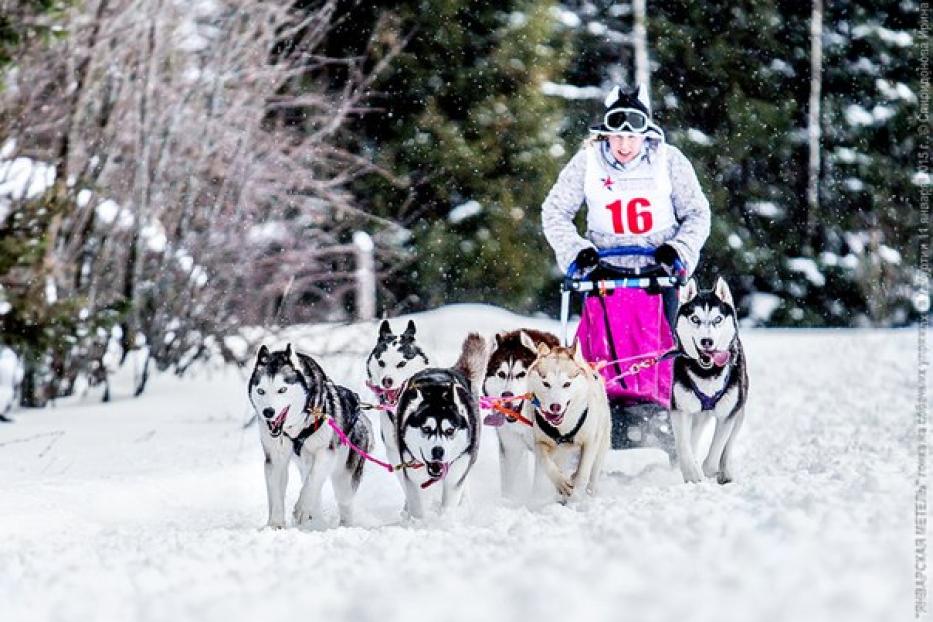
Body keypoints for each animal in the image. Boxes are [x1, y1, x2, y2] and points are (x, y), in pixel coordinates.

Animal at [253, 344, 376, 528]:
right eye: (261, 391)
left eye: (282, 389)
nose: (268, 412)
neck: (296, 429)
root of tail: (361, 413)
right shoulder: (275, 458)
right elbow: (276, 493)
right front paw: (275, 524)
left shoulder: (325, 452)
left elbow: (312, 480)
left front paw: (302, 508)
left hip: (344, 479)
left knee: (343, 502)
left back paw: (342, 525)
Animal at [394, 336, 484, 520]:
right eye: (426, 429)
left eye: (450, 430)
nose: (438, 451)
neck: (437, 393)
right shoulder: (412, 476)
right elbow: (417, 506)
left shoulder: (456, 474)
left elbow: (449, 502)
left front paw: (445, 520)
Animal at [528, 342, 616, 502]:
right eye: (546, 383)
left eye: (567, 384)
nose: (555, 406)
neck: (564, 428)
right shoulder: (540, 442)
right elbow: (546, 463)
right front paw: (561, 483)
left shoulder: (590, 442)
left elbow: (583, 473)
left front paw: (576, 498)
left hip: (602, 443)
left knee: (593, 473)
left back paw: (589, 492)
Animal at [668, 280, 748, 488]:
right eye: (695, 319)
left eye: (718, 319)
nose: (707, 341)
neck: (707, 373)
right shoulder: (680, 409)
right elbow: (683, 445)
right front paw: (691, 472)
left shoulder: (728, 414)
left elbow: (717, 450)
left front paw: (707, 470)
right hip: (697, 414)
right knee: (693, 438)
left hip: (738, 413)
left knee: (727, 447)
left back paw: (725, 472)